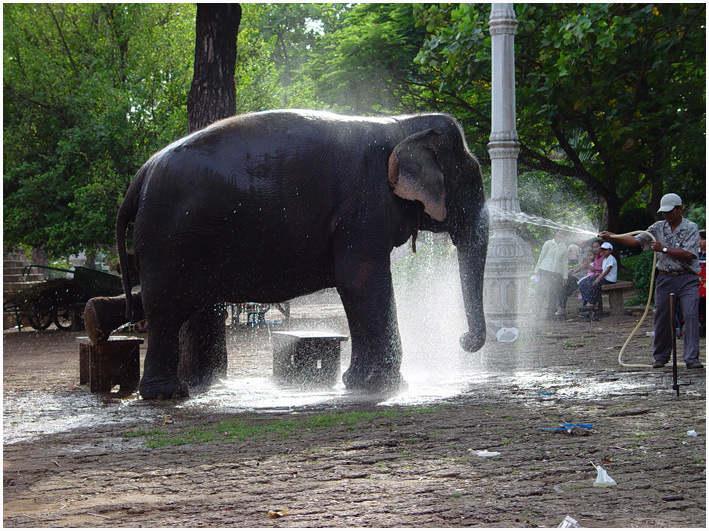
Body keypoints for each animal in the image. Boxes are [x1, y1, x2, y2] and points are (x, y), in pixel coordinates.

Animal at [116, 111, 490, 400]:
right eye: (472, 177)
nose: (463, 340)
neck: (402, 125)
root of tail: (140, 175)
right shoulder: (364, 207)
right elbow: (362, 281)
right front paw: (391, 388)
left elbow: (353, 288)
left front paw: (356, 384)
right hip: (167, 238)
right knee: (166, 309)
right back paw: (169, 394)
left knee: (190, 309)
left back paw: (192, 388)